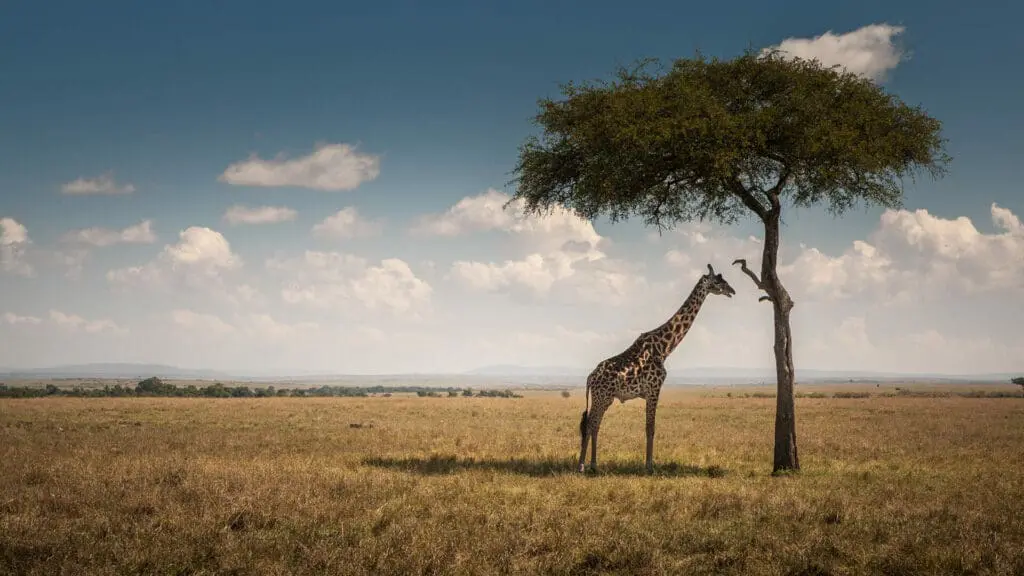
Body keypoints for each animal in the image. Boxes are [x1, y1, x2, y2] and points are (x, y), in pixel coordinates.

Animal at [578, 264, 736, 474]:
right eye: (718, 281)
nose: (732, 291)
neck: (665, 347)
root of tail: (590, 377)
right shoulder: (654, 389)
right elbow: (650, 428)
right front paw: (649, 466)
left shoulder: (650, 391)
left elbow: (649, 427)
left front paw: (648, 464)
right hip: (601, 397)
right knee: (590, 424)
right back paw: (582, 465)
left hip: (605, 398)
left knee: (594, 424)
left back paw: (593, 465)